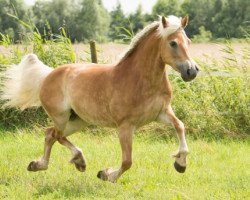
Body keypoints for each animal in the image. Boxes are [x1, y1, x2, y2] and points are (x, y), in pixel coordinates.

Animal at [0, 14, 198, 182]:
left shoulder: (161, 113)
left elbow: (180, 126)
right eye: (173, 43)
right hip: (61, 116)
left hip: (78, 120)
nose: (192, 71)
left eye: (188, 41)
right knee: (57, 135)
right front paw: (106, 175)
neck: (140, 79)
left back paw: (39, 165)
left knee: (50, 134)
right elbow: (127, 161)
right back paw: (78, 160)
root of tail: (48, 75)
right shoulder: (125, 126)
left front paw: (180, 163)